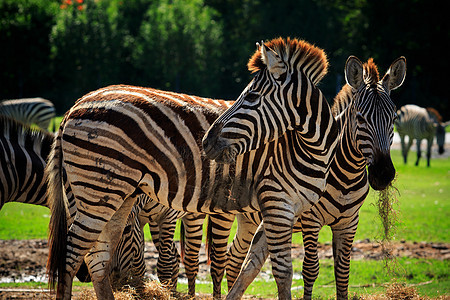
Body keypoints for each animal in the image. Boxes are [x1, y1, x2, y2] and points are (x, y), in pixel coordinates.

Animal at [47, 37, 340, 300]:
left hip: (111, 195)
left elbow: (251, 268)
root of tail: (75, 105)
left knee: (98, 258)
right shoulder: (276, 202)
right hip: (98, 189)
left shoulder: (285, 210)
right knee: (72, 256)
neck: (308, 146)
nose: (206, 141)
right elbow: (282, 272)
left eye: (252, 96)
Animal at [213, 56, 406, 300]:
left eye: (394, 118)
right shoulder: (311, 220)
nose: (383, 174)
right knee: (220, 260)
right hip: (224, 213)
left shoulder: (349, 222)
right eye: (360, 118)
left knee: (236, 258)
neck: (347, 175)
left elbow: (343, 272)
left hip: (249, 219)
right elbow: (311, 268)